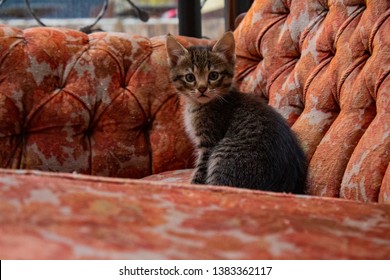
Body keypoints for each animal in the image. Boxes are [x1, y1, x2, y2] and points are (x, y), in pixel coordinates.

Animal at [166, 31, 306, 194]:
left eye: (213, 75)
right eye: (190, 77)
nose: (202, 89)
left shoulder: (209, 143)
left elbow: (200, 172)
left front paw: (192, 187)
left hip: (223, 155)